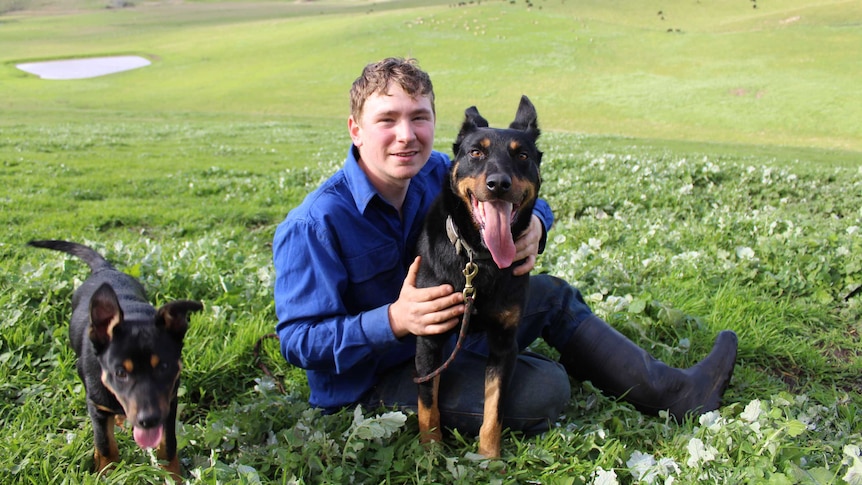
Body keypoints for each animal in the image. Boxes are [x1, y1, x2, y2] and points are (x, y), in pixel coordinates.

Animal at [27, 240, 204, 478]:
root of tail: (105, 269)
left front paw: (173, 476)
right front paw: (108, 473)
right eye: (120, 373)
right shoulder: (97, 407)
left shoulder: (169, 402)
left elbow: (168, 445)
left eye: (164, 367)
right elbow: (105, 444)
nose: (148, 420)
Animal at [416, 95, 544, 458]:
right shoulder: (429, 336)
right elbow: (427, 403)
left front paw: (489, 457)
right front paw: (430, 453)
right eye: (476, 152)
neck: (478, 257)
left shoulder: (503, 343)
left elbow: (494, 407)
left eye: (522, 155)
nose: (498, 184)